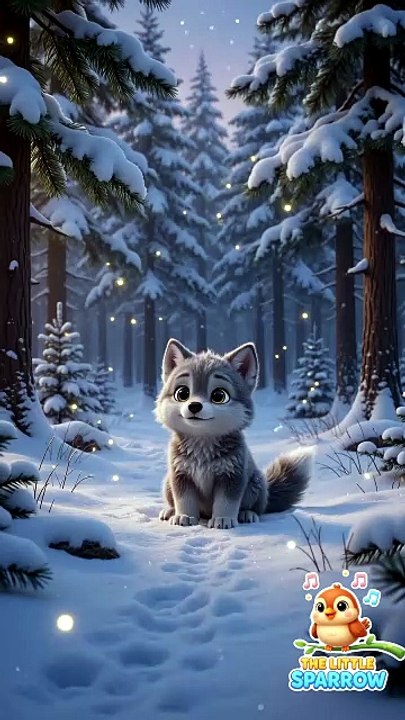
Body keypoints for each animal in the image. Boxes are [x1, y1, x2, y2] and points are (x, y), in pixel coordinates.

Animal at [155, 339, 310, 529]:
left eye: (219, 396)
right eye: (182, 393)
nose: (194, 406)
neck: (203, 444)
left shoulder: (232, 475)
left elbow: (226, 503)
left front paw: (223, 519)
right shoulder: (180, 474)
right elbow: (184, 500)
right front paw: (184, 516)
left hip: (255, 482)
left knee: (256, 508)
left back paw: (247, 514)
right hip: (167, 483)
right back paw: (170, 511)